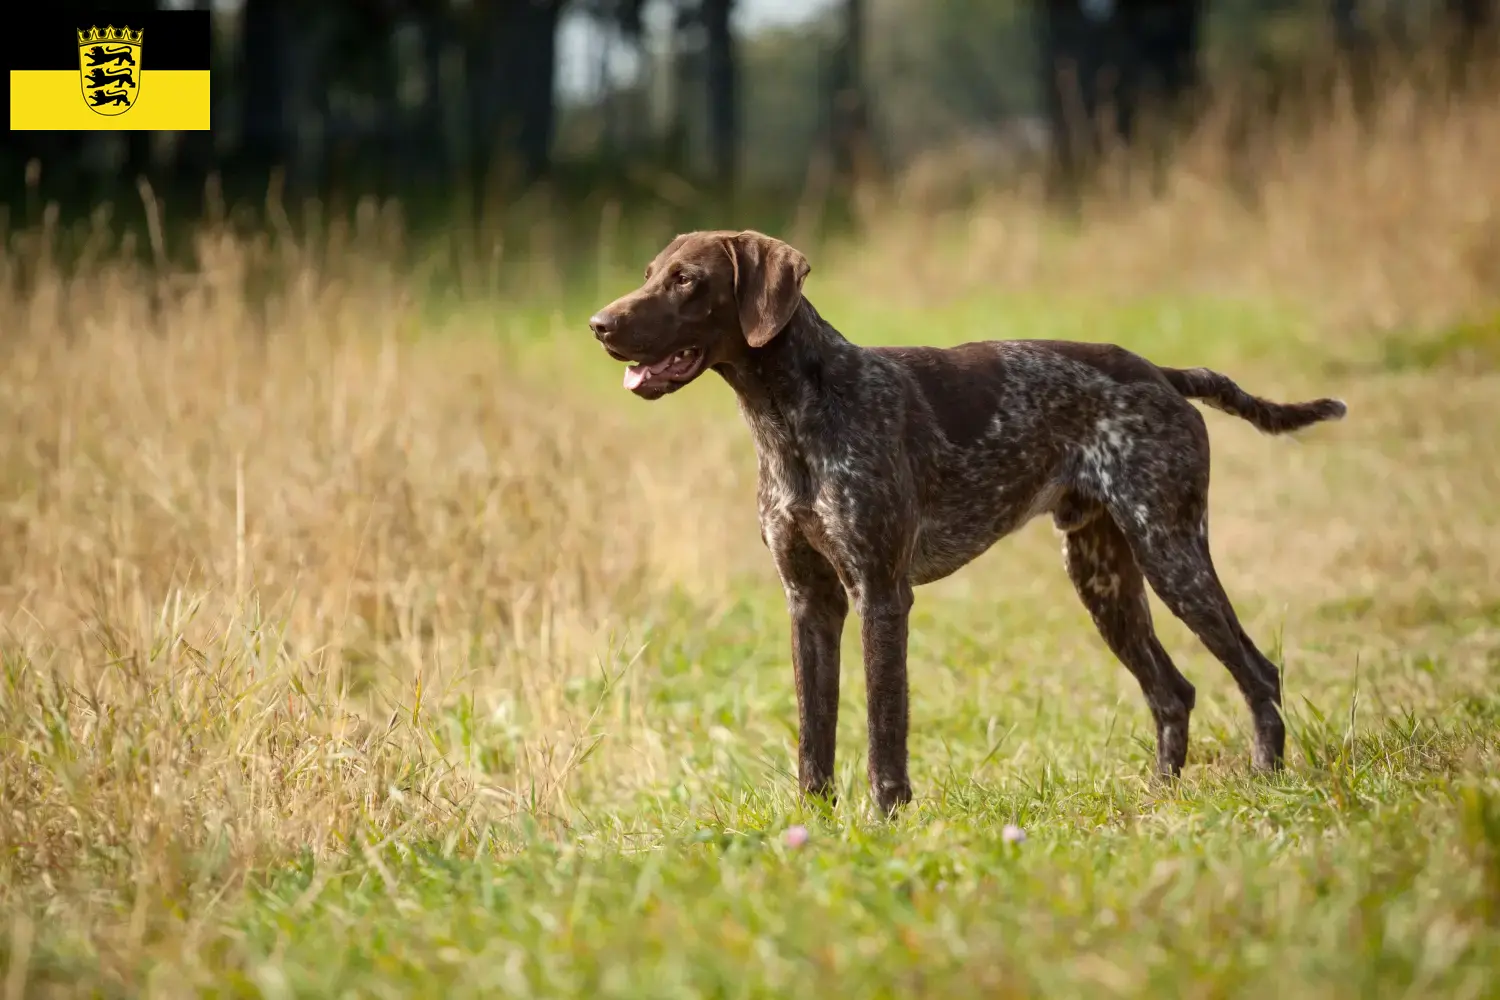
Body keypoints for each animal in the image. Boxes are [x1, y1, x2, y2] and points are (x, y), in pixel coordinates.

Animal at [585, 229, 1350, 815]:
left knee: (1257, 672)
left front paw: (886, 821)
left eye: (687, 280)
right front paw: (812, 826)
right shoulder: (809, 602)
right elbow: (814, 735)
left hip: (1171, 552)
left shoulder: (880, 596)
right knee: (1173, 693)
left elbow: (883, 728)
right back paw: (1159, 797)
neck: (792, 416)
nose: (599, 324)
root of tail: (1161, 373)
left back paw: (1266, 780)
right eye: (649, 274)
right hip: (1103, 578)